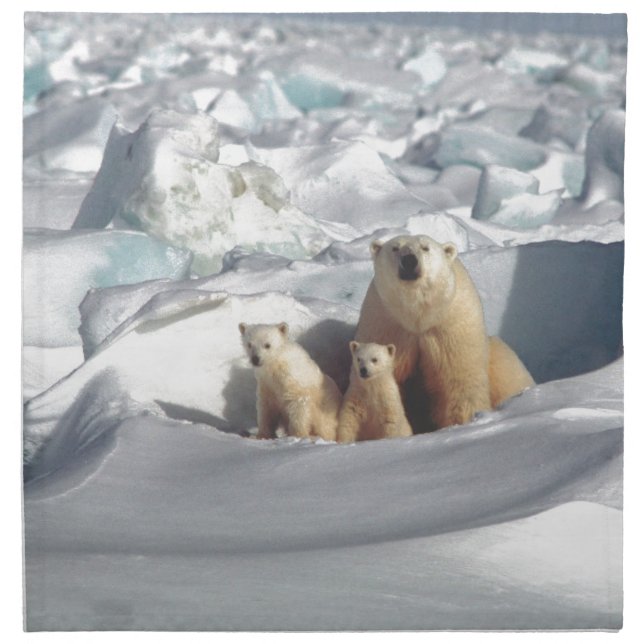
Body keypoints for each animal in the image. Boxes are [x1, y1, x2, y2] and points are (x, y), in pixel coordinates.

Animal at [355, 234, 534, 431]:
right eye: (395, 248)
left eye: (425, 247)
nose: (409, 260)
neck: (418, 316)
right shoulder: (386, 325)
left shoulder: (450, 326)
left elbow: (458, 380)